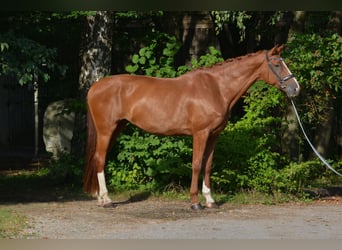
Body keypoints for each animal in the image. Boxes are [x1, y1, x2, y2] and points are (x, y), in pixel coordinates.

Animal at [83, 44, 300, 209]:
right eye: (277, 64)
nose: (296, 88)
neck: (216, 88)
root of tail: (95, 87)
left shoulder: (214, 135)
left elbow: (208, 165)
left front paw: (210, 200)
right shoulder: (200, 133)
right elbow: (196, 164)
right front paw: (195, 202)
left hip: (117, 128)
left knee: (98, 159)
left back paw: (100, 198)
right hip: (106, 130)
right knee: (100, 159)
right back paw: (106, 200)